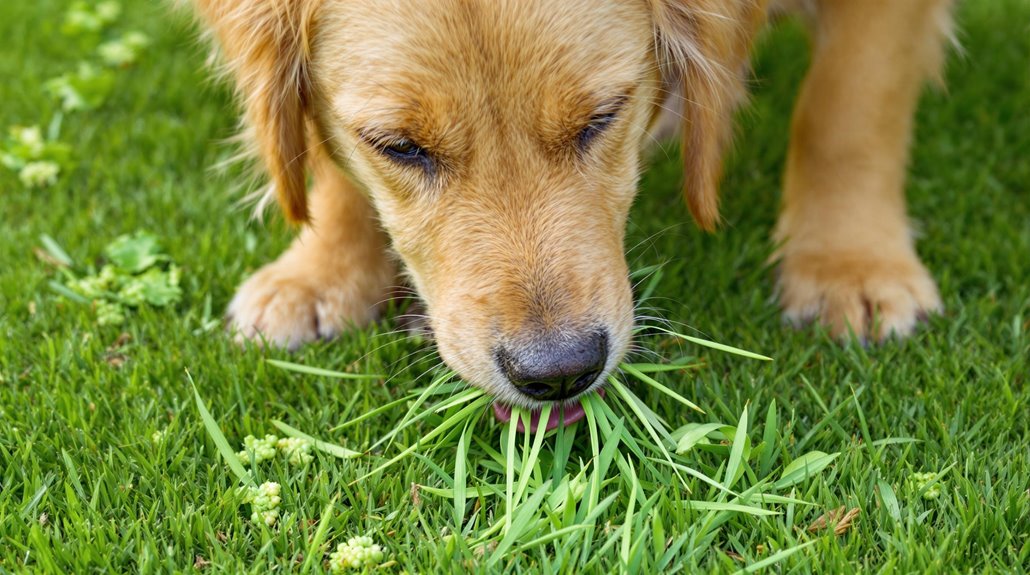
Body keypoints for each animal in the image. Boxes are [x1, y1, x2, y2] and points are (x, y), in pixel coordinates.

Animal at [191, 0, 947, 416]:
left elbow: (847, 104)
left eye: (601, 118)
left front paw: (850, 266)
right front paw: (323, 271)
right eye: (400, 146)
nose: (557, 373)